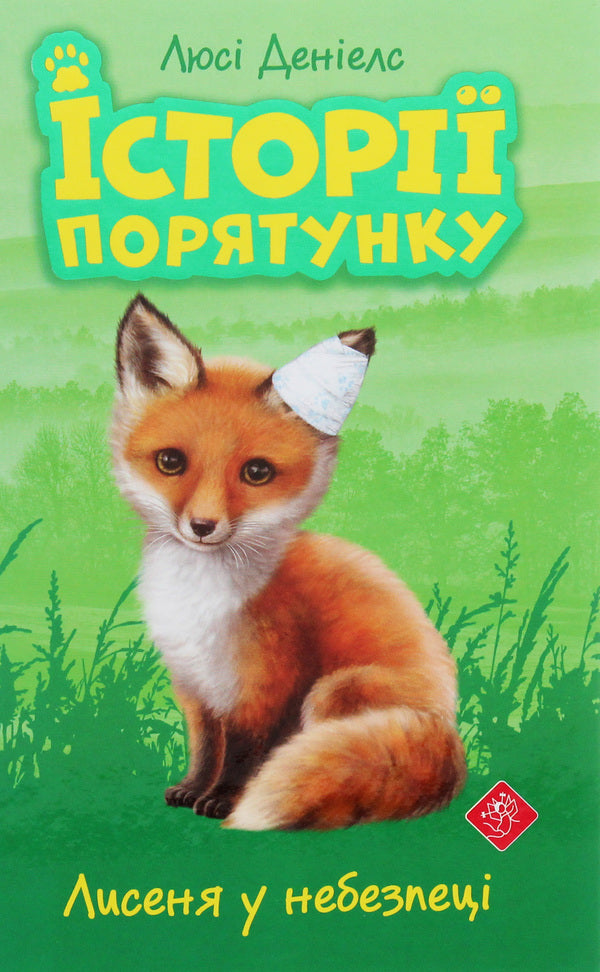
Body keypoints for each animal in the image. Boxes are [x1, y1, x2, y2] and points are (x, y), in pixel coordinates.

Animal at [112, 294, 466, 830]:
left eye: (256, 472)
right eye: (170, 462)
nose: (201, 526)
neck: (200, 603)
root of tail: (449, 737)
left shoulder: (265, 687)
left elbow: (242, 754)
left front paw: (224, 800)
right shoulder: (195, 684)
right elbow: (205, 747)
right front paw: (193, 789)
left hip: (334, 690)